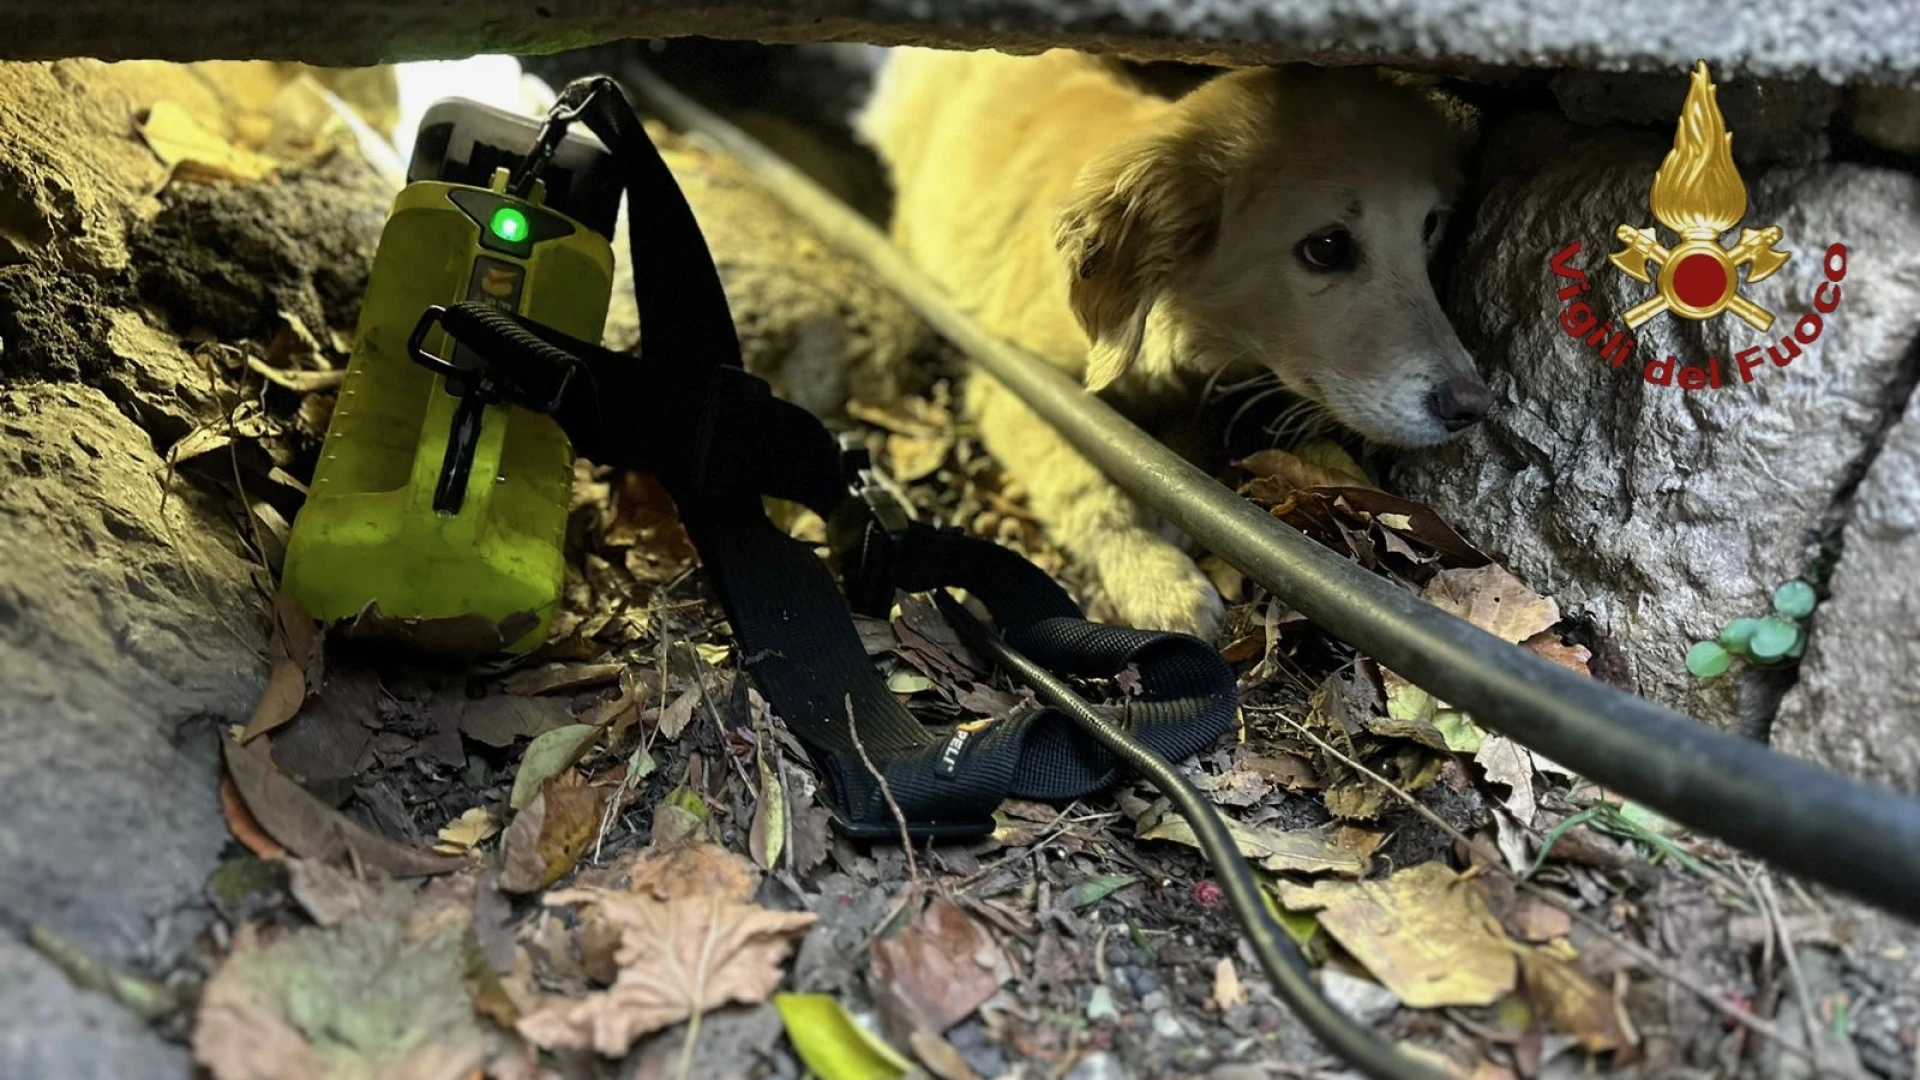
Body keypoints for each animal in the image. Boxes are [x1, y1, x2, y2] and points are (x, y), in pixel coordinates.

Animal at [860, 50, 1482, 634]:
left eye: (1429, 225)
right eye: (1326, 246)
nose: (1472, 406)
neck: (1171, 320)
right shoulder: (1015, 381)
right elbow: (1086, 488)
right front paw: (1155, 578)